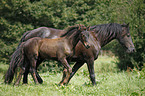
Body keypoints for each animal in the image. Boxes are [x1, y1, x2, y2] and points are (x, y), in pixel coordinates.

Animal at [4, 22, 136, 85]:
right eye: (128, 35)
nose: (132, 50)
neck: (95, 38)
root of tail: (29, 33)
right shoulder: (89, 60)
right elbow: (92, 74)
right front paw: (94, 86)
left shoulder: (80, 61)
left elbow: (71, 72)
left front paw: (63, 83)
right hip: (37, 58)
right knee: (32, 69)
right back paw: (38, 82)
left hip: (35, 57)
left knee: (27, 69)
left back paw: (25, 83)